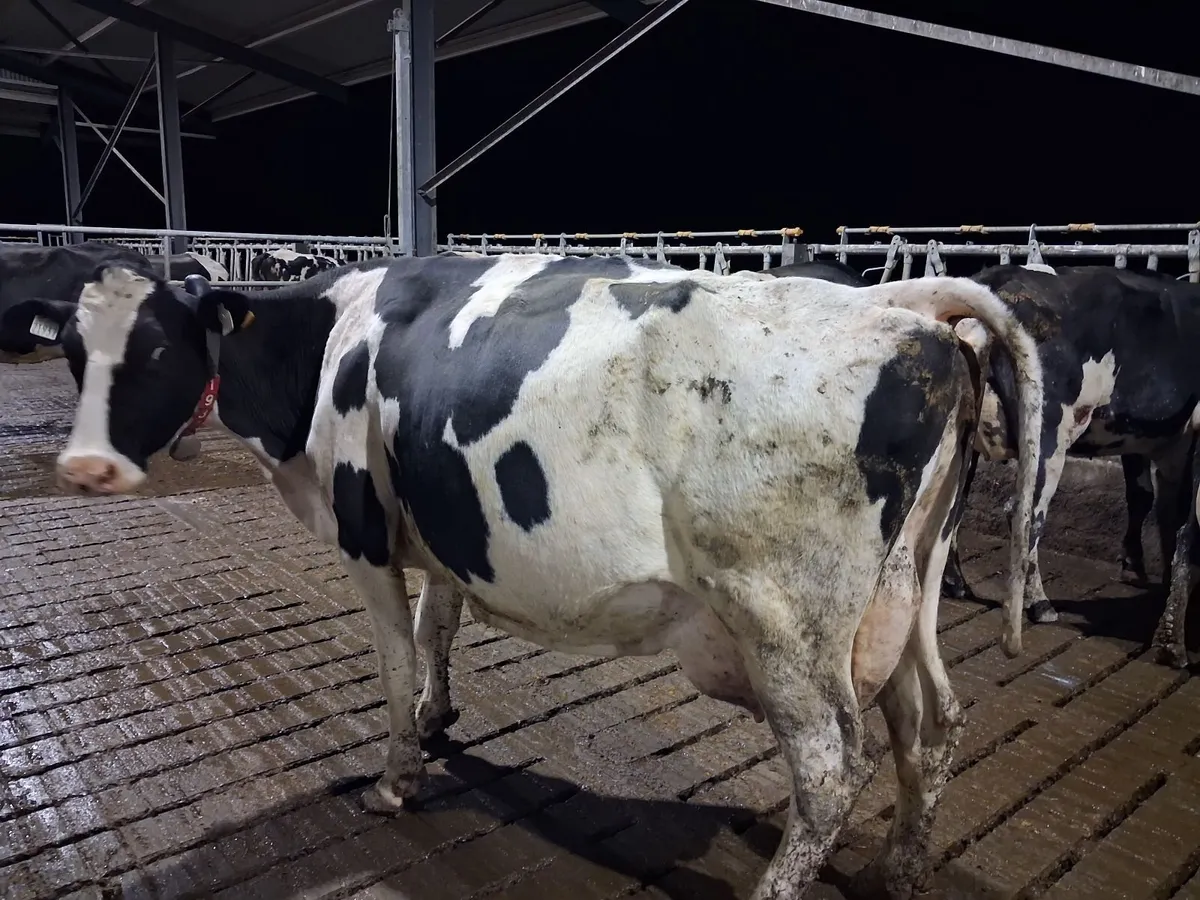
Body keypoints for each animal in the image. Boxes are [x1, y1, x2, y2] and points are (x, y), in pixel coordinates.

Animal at [3, 253, 1043, 900]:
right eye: (74, 354)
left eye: (157, 350)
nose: (86, 468)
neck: (330, 341)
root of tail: (896, 306)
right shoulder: (443, 528)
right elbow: (439, 626)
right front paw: (437, 718)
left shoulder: (363, 532)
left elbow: (392, 660)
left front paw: (397, 775)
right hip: (905, 592)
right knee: (933, 723)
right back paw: (901, 868)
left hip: (784, 618)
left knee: (831, 768)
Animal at [943, 263, 1200, 668]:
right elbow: (1177, 523)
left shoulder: (1141, 440)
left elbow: (1148, 500)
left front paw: (1137, 567)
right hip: (1049, 432)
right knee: (1025, 511)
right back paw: (1040, 604)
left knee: (954, 503)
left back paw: (957, 584)